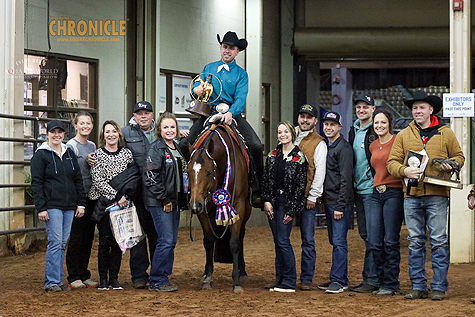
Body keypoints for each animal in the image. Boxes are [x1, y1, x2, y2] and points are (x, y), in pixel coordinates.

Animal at [188, 123, 253, 292]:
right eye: (188, 172)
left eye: (209, 172)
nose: (194, 205)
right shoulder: (204, 208)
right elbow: (209, 241)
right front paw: (208, 278)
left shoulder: (237, 205)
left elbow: (235, 242)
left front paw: (236, 281)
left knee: (241, 236)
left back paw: (242, 271)